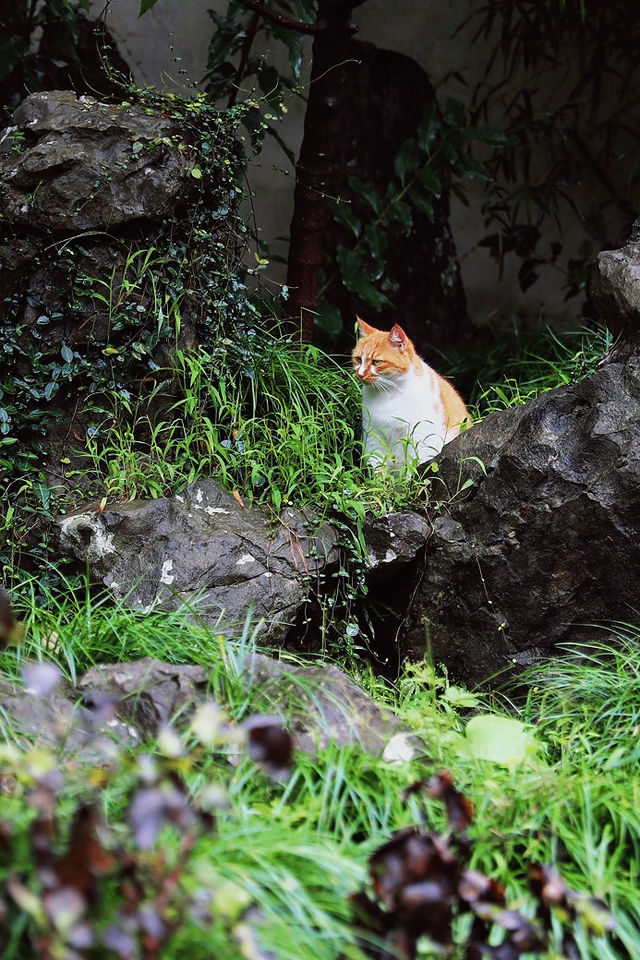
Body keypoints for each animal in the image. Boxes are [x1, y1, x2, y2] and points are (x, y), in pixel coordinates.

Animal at [352, 318, 468, 468]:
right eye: (358, 359)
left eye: (376, 362)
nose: (360, 374)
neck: (388, 395)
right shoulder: (373, 437)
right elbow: (378, 468)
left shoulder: (420, 438)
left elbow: (413, 468)